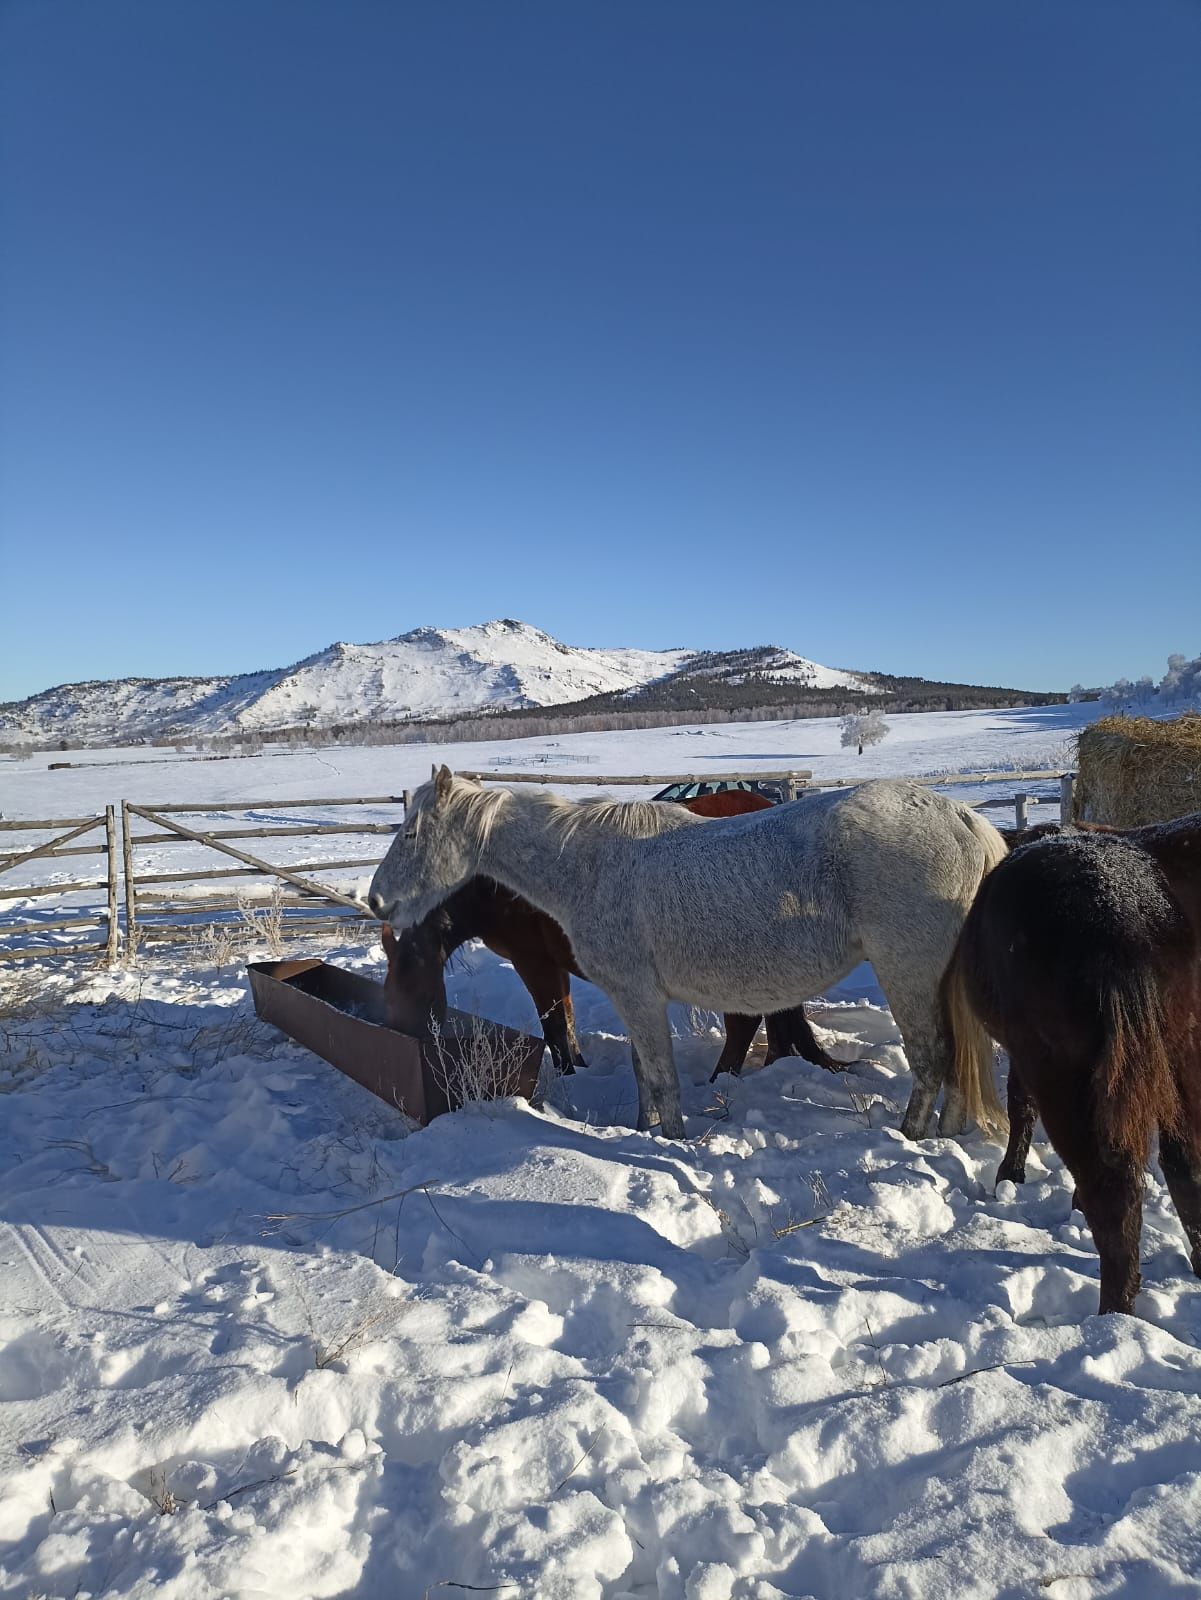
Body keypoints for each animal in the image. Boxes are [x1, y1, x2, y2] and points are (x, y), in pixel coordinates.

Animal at [380, 784, 837, 1075]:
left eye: (415, 991)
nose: (404, 1041)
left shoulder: (533, 961)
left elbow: (554, 1027)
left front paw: (569, 1075)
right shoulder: (553, 964)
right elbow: (565, 1020)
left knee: (743, 1026)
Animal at [946, 812, 1201, 1312]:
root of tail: (1121, 916)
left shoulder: (1024, 1055)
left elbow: (1020, 1105)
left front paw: (1010, 1174)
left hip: (1065, 1076)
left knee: (1114, 1192)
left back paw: (1113, 1312)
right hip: (1180, 1057)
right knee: (1186, 1167)